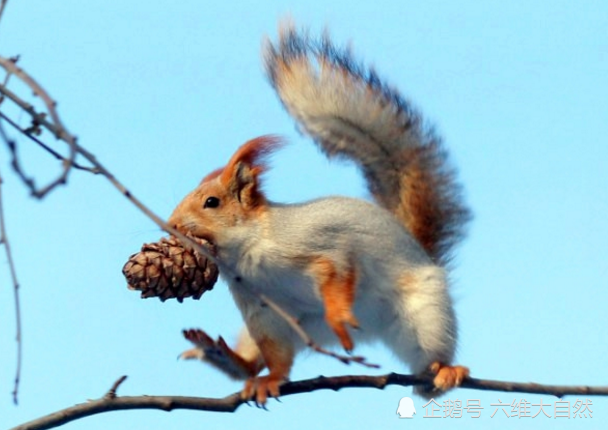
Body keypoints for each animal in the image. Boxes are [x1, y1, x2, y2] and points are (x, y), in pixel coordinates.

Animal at [169, 21, 472, 404]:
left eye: (212, 202)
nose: (171, 224)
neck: (246, 252)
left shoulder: (319, 244)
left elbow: (337, 268)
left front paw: (339, 315)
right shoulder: (260, 309)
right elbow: (277, 356)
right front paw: (270, 380)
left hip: (426, 314)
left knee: (429, 363)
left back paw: (444, 372)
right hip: (291, 328)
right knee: (259, 358)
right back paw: (223, 356)